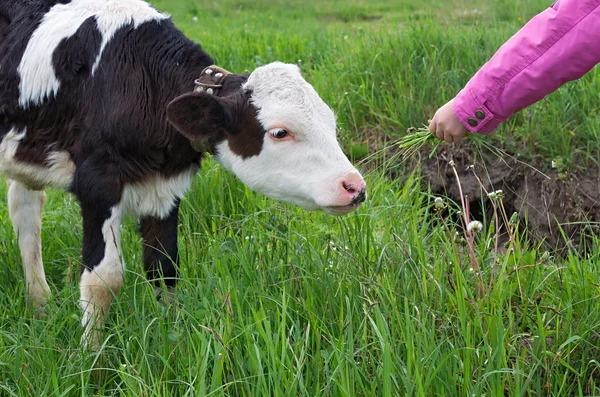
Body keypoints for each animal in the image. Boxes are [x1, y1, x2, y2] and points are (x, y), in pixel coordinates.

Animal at [0, 0, 366, 344]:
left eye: (330, 122)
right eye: (280, 132)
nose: (354, 186)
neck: (138, 79)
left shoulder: (165, 187)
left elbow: (164, 267)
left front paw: (170, 335)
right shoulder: (97, 184)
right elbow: (103, 279)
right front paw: (93, 355)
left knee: (26, 211)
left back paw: (39, 305)